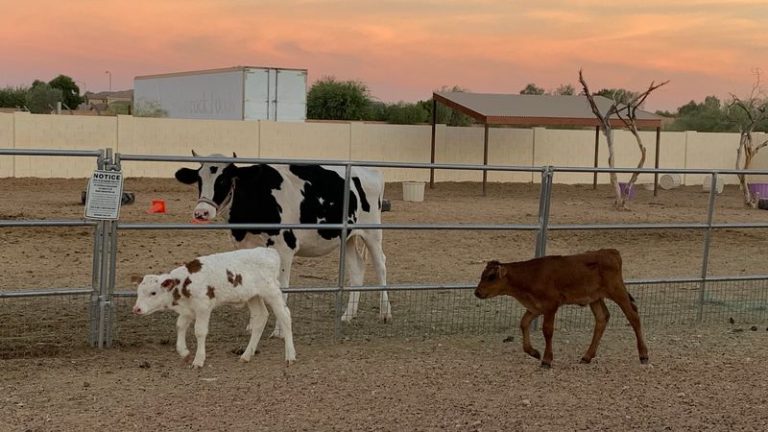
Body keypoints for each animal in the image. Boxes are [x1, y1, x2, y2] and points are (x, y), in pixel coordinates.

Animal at [174, 152, 391, 338]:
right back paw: (348, 315)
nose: (201, 212)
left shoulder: (285, 248)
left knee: (380, 264)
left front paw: (279, 330)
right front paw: (253, 324)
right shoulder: (246, 247)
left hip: (372, 231)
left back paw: (385, 312)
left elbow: (283, 287)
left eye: (223, 179)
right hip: (348, 236)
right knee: (357, 268)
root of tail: (369, 169)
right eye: (199, 179)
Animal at [475, 249, 649, 368]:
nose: (477, 292)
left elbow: (547, 330)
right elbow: (524, 323)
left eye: (491, 277)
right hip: (595, 298)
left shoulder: (551, 305)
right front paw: (534, 352)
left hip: (617, 291)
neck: (531, 276)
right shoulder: (535, 307)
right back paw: (586, 357)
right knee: (602, 318)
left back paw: (644, 355)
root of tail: (610, 252)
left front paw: (546, 360)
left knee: (633, 316)